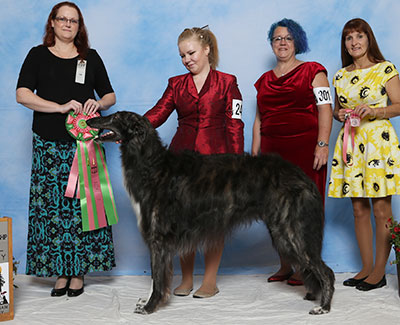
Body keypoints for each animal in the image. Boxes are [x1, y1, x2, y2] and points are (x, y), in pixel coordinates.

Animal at [86, 110, 334, 314]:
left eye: (115, 117)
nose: (90, 120)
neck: (152, 165)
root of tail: (303, 177)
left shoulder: (158, 238)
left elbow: (157, 278)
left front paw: (150, 307)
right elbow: (157, 277)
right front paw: (148, 302)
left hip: (291, 233)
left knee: (326, 271)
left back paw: (323, 307)